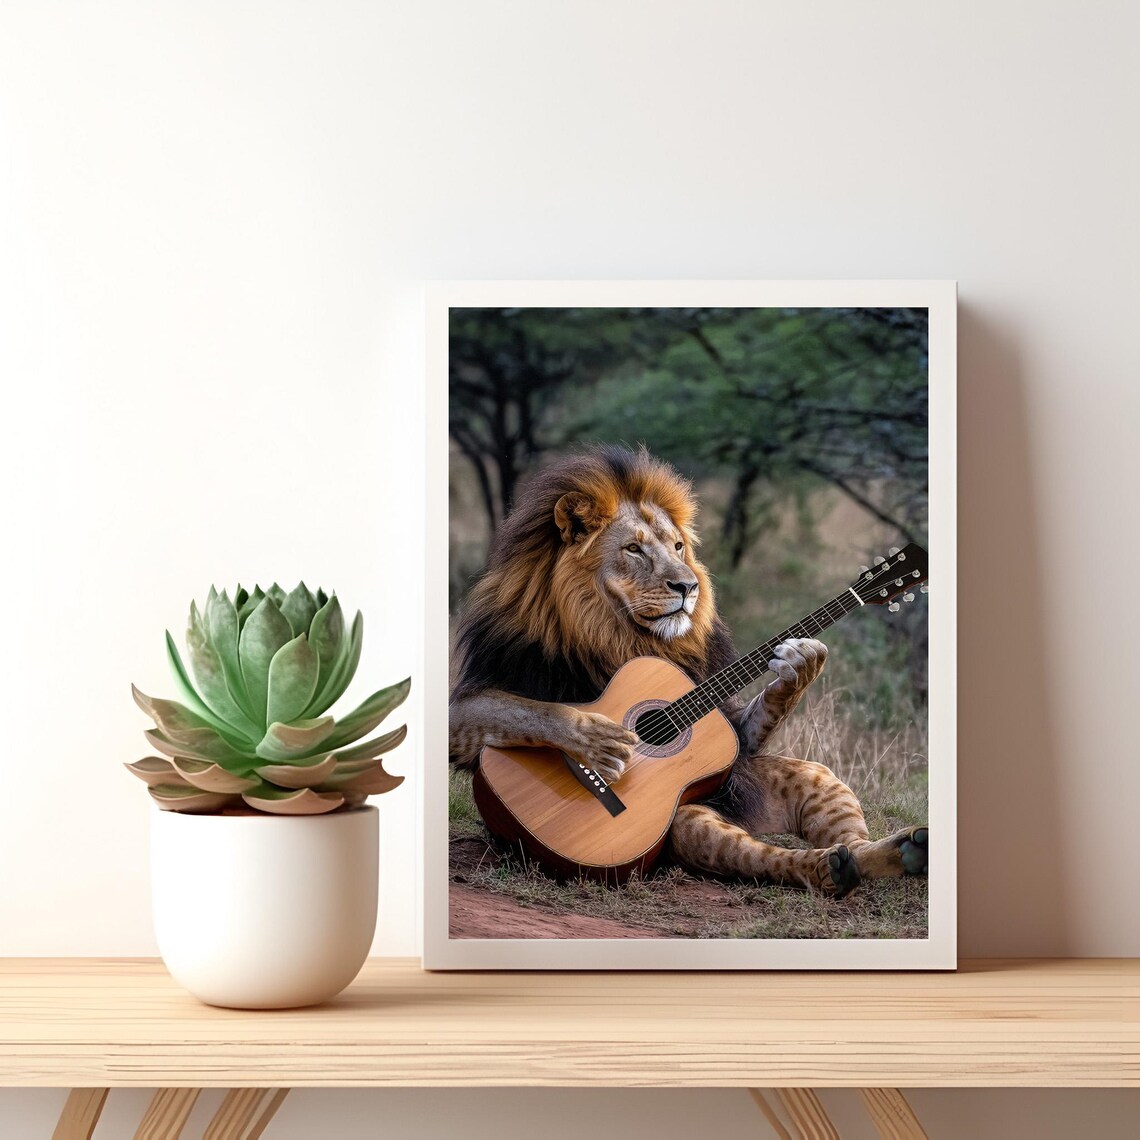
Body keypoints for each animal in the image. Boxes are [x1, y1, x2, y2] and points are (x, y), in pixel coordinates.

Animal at [449, 445, 928, 896]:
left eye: (678, 547)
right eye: (634, 548)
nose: (688, 586)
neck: (625, 635)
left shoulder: (732, 726)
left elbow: (744, 731)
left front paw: (800, 664)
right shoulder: (480, 686)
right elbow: (519, 712)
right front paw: (598, 742)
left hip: (813, 778)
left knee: (838, 819)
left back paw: (899, 851)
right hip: (684, 825)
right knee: (747, 848)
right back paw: (834, 868)